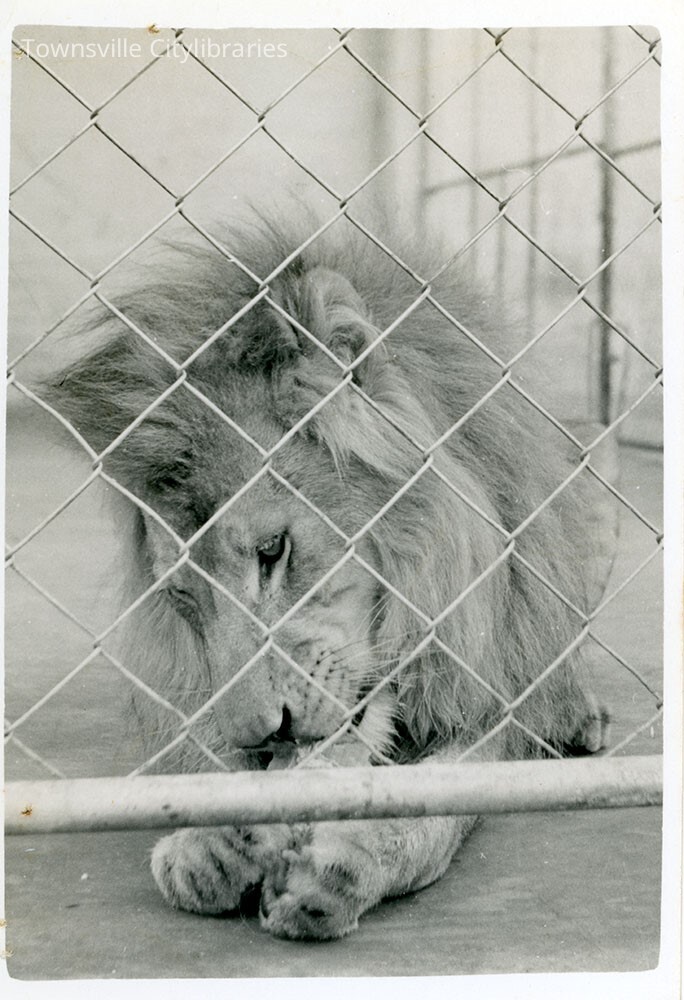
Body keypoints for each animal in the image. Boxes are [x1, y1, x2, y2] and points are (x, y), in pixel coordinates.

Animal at [42, 215, 612, 940]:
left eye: (272, 550)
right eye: (182, 598)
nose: (263, 735)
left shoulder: (492, 700)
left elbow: (439, 801)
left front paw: (344, 862)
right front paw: (219, 838)